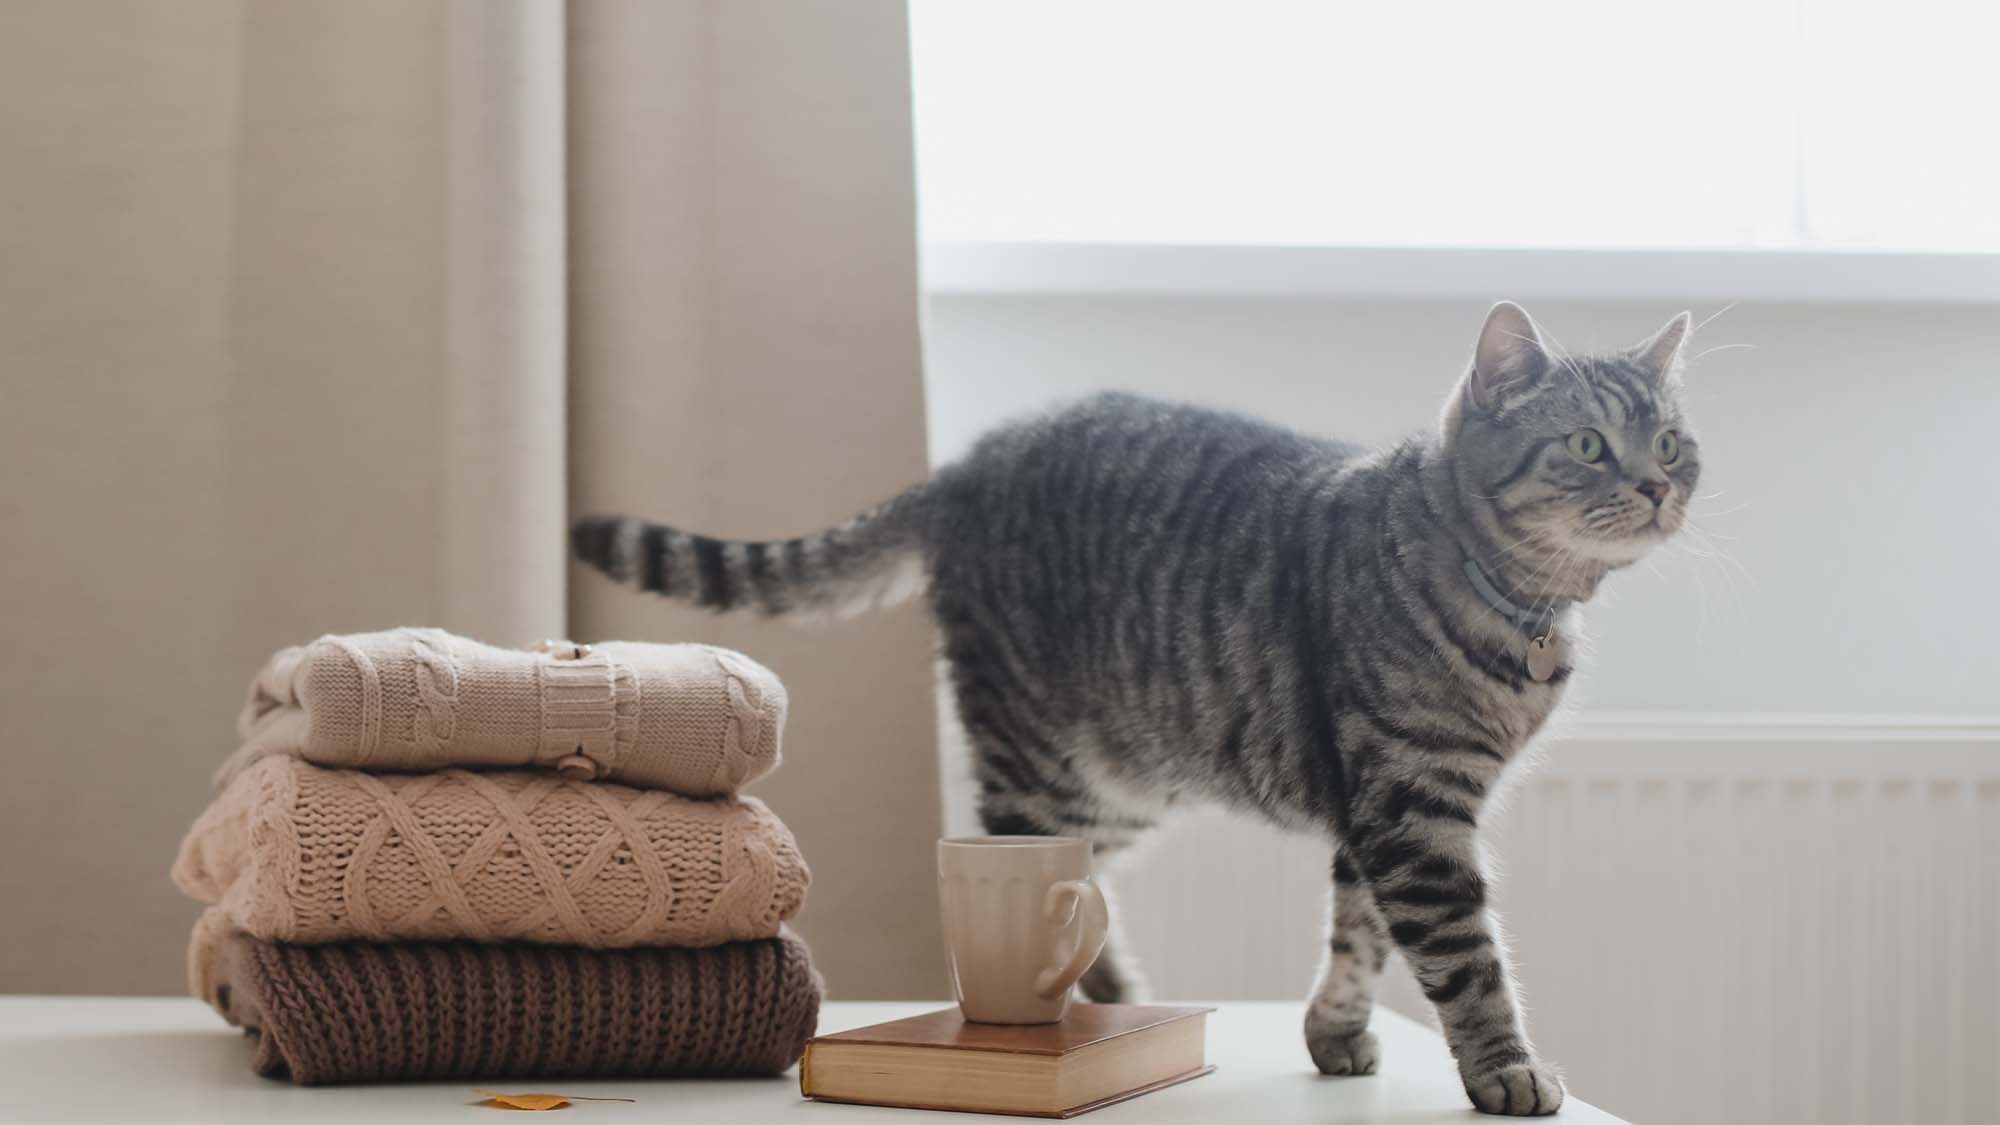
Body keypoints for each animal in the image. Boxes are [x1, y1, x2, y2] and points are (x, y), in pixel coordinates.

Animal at [576, 300, 1704, 1112]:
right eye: (1589, 445)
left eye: (1672, 442)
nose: (1659, 487)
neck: (1520, 612)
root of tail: (968, 462)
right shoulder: (1411, 806)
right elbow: (1464, 953)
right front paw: (1504, 1066)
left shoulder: (1377, 808)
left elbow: (1360, 936)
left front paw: (1334, 1032)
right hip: (1041, 762)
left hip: (1118, 784)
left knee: (1084, 885)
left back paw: (1114, 993)